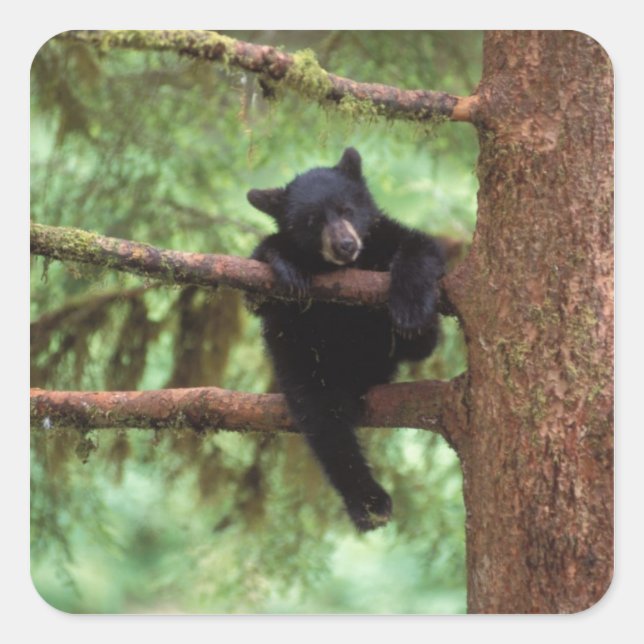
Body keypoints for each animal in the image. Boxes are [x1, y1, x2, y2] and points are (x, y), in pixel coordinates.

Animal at [247, 147, 445, 532]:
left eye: (346, 209)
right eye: (312, 221)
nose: (345, 245)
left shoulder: (385, 237)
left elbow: (421, 246)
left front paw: (410, 308)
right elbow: (257, 291)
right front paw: (285, 263)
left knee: (423, 345)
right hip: (304, 369)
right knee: (327, 427)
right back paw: (369, 501)